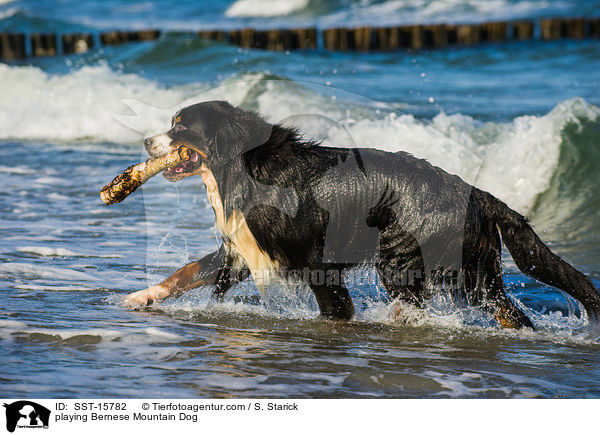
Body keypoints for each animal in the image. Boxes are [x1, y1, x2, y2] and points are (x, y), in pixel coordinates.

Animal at [124, 100, 596, 328]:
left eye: (180, 127)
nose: (146, 142)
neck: (244, 169)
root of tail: (477, 193)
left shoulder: (316, 263)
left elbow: (336, 309)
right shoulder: (243, 250)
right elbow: (186, 272)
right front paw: (142, 296)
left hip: (406, 259)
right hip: (476, 272)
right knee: (511, 315)